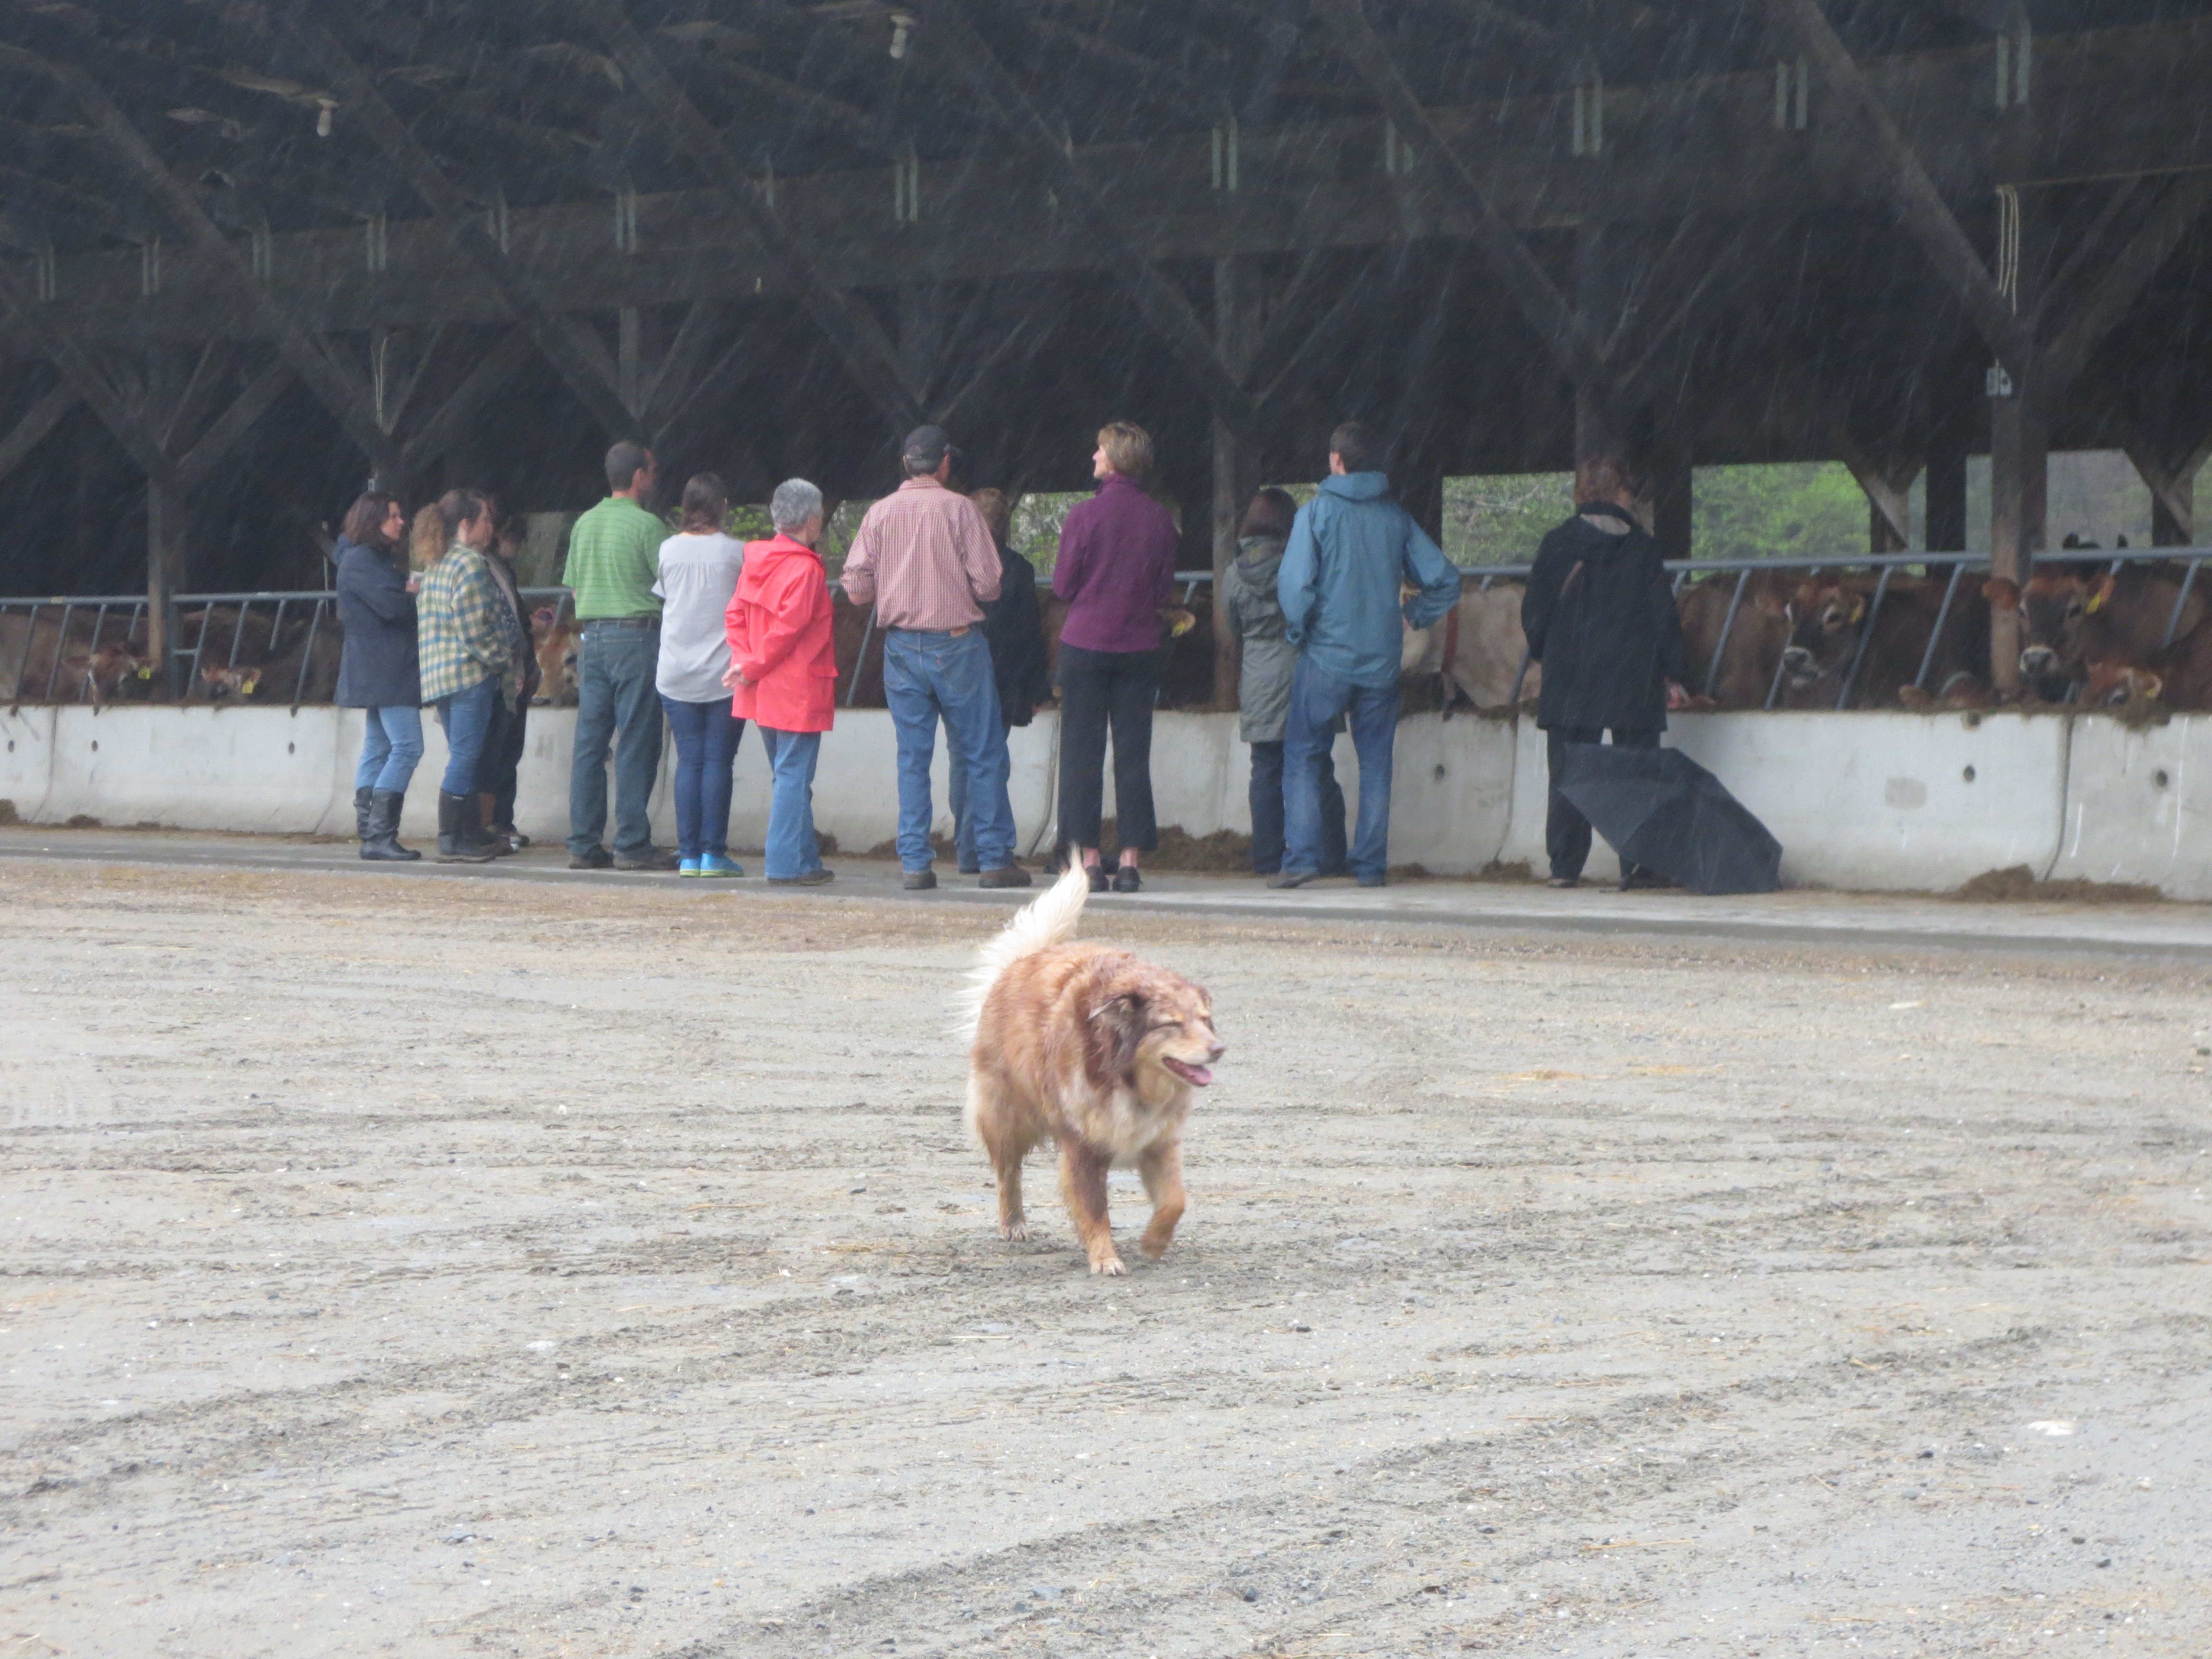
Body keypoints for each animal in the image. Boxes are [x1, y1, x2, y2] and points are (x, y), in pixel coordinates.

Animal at [955, 863, 1221, 1283]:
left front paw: (1154, 1242)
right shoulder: (1083, 1146)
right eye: (1172, 1024)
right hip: (1006, 1116)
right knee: (1007, 1172)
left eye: (1205, 1020)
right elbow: (1095, 1208)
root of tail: (1027, 959)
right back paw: (1013, 1222)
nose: (1218, 1049)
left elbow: (1175, 1200)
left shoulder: (1159, 1141)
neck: (1127, 1078)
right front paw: (1105, 1257)